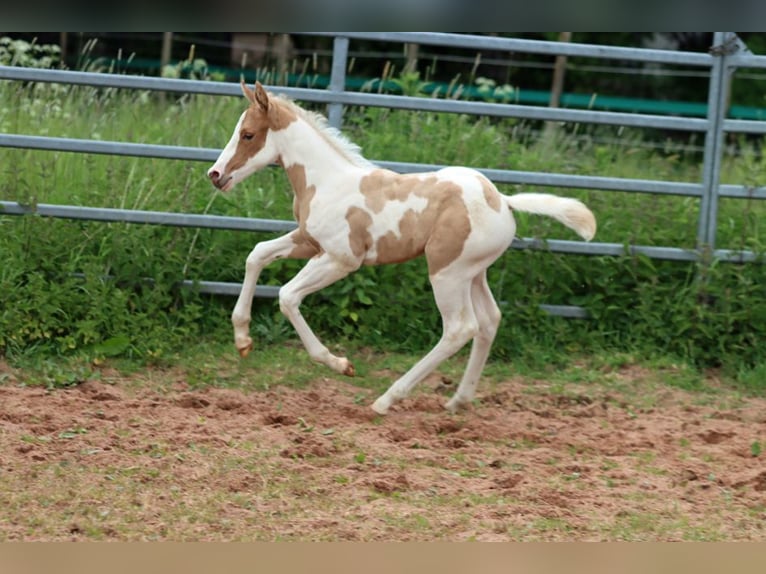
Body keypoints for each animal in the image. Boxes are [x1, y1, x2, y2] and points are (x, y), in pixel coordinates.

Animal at [207, 81, 596, 415]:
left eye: (248, 134)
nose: (215, 175)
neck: (327, 181)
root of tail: (503, 201)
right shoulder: (308, 242)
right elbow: (257, 254)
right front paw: (242, 340)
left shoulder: (341, 259)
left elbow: (287, 296)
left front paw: (340, 364)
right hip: (474, 273)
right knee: (489, 321)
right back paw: (458, 400)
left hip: (447, 273)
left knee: (459, 328)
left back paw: (387, 399)